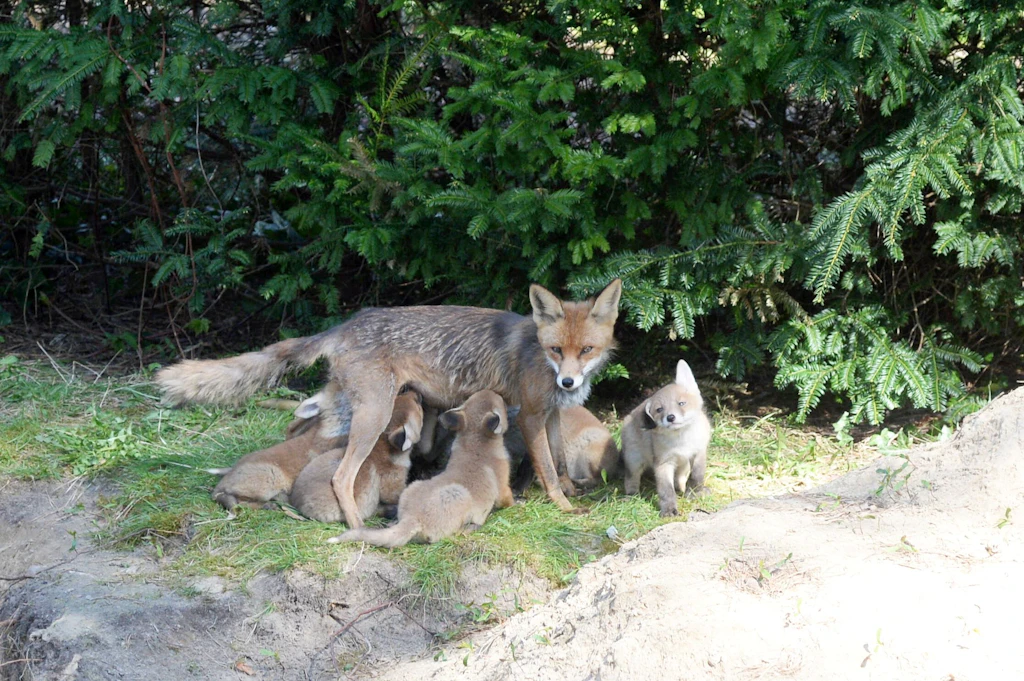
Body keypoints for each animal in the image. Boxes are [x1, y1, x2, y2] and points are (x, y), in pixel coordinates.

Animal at [290, 388, 425, 523]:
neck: (384, 449)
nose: (416, 392)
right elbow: (398, 494)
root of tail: (296, 502)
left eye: (400, 397)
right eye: (418, 406)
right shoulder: (392, 485)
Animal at [331, 390, 514, 548]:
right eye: (503, 405)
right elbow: (507, 500)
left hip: (413, 486)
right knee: (452, 535)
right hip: (457, 495)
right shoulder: (502, 488)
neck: (475, 445)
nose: (504, 397)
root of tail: (412, 519)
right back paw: (472, 527)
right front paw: (517, 504)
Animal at [619, 359, 712, 517]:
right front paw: (669, 509)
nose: (670, 417)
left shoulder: (698, 453)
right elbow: (666, 490)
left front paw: (695, 493)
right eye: (659, 409)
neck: (682, 441)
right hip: (634, 460)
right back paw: (632, 496)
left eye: (681, 403)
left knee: (680, 479)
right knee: (631, 479)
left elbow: (696, 476)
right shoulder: (663, 463)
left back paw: (683, 489)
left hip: (683, 465)